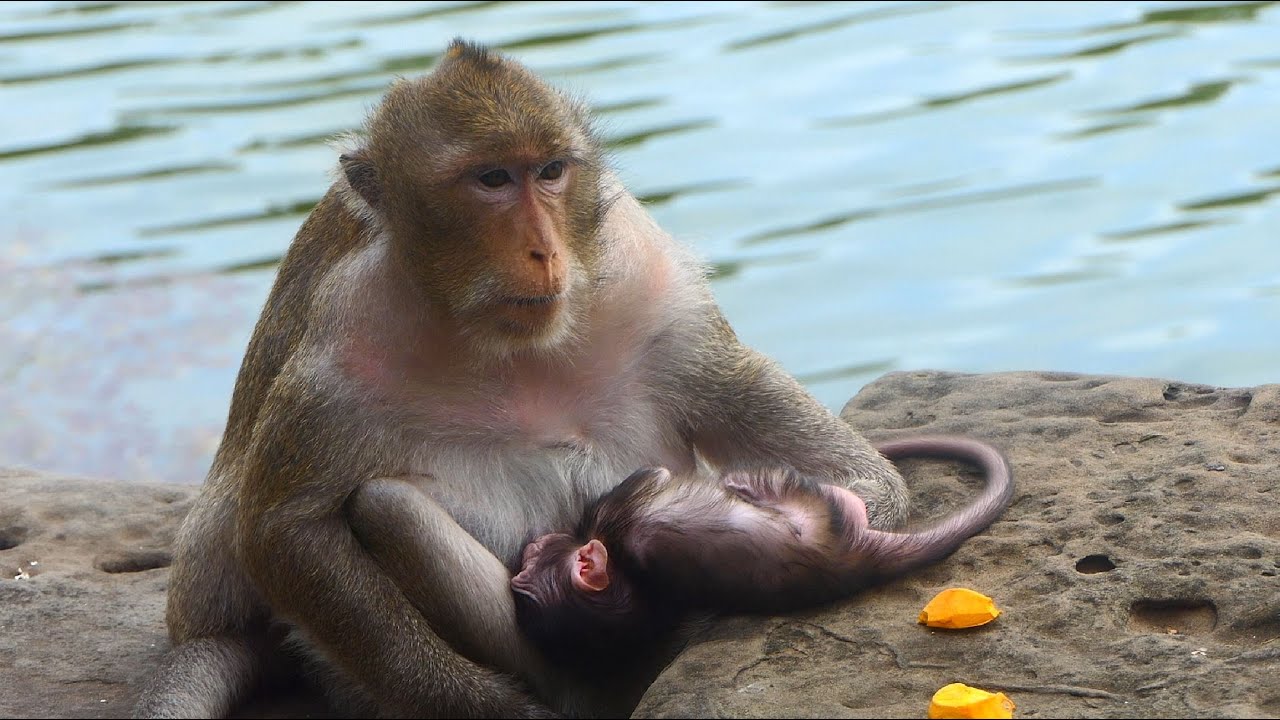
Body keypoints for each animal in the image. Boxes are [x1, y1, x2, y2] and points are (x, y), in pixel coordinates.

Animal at [132, 38, 923, 719]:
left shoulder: (649, 280)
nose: (544, 250)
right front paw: (484, 703)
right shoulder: (344, 341)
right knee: (388, 510)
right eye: (491, 180)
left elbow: (812, 450)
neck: (510, 340)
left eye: (549, 172)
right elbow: (285, 533)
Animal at [510, 436, 1012, 664]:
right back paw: (746, 481)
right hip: (818, 508)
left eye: (531, 559)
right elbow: (651, 476)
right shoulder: (621, 515)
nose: (529, 545)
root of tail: (856, 558)